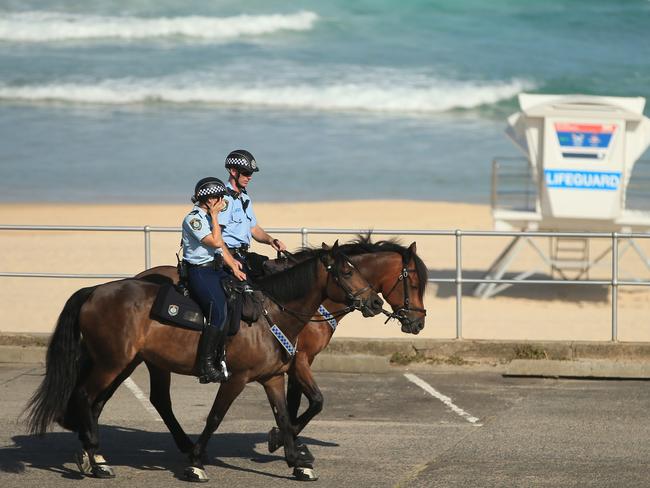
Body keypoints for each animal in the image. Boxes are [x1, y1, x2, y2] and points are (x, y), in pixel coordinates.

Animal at [24, 242, 380, 482]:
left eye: (358, 269)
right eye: (347, 271)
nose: (375, 302)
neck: (270, 315)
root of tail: (95, 290)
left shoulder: (274, 378)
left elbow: (283, 416)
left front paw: (296, 461)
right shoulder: (237, 378)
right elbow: (215, 417)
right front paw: (196, 463)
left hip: (124, 362)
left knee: (103, 401)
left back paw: (92, 453)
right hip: (112, 363)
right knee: (87, 396)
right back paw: (98, 459)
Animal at [136, 236, 428, 466]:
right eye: (414, 283)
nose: (418, 322)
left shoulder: (290, 362)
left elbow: (294, 403)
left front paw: (290, 441)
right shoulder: (300, 360)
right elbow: (314, 401)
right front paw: (281, 439)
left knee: (160, 400)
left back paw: (187, 445)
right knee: (161, 400)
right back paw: (189, 447)